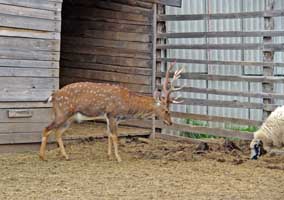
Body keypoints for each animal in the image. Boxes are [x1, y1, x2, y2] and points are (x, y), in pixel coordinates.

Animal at [38, 63, 183, 162]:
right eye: (166, 110)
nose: (170, 122)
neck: (127, 106)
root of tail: (53, 95)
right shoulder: (112, 114)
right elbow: (115, 136)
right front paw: (118, 158)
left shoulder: (112, 118)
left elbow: (108, 134)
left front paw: (109, 156)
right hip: (62, 112)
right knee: (46, 128)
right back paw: (42, 157)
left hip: (69, 117)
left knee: (58, 132)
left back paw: (66, 156)